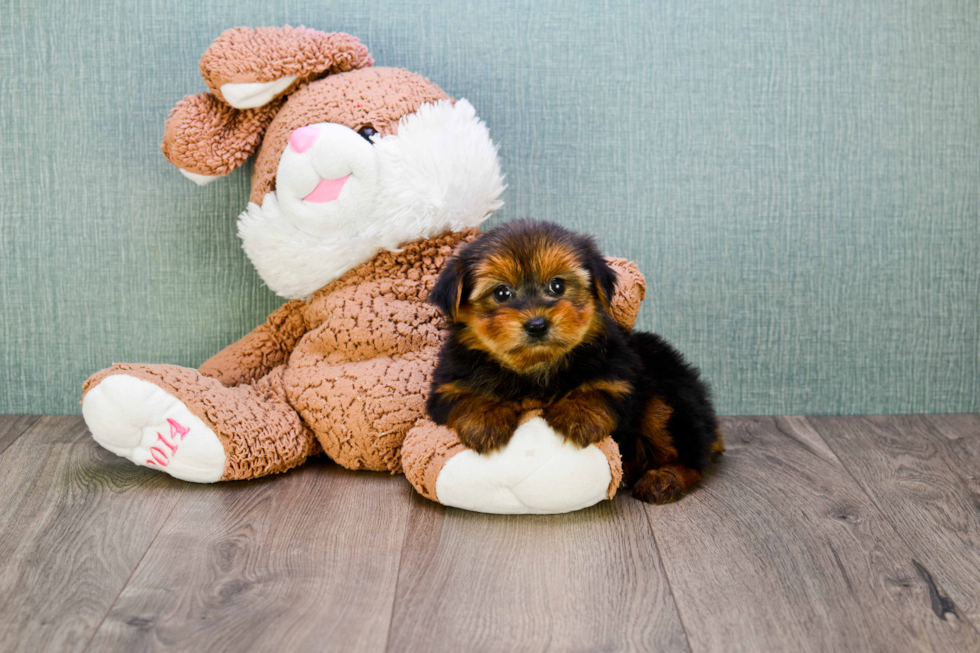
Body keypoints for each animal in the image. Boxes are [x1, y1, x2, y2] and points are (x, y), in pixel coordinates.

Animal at [426, 220, 720, 504]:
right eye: (501, 293)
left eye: (557, 286)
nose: (537, 324)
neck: (535, 368)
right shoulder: (448, 384)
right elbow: (465, 395)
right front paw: (486, 419)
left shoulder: (621, 372)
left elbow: (603, 387)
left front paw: (579, 414)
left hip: (669, 397)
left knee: (688, 453)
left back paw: (665, 477)